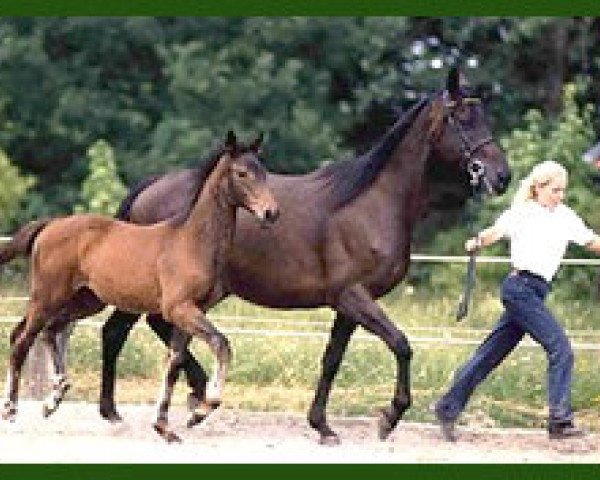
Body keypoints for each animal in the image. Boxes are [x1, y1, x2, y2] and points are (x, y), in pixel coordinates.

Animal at [0, 131, 278, 442]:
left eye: (264, 172)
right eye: (242, 173)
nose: (271, 212)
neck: (192, 242)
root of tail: (49, 226)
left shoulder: (192, 312)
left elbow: (174, 362)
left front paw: (164, 427)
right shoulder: (180, 309)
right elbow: (221, 344)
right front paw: (202, 410)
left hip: (86, 301)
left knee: (49, 330)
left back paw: (53, 399)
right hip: (47, 297)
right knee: (23, 340)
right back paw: (11, 409)